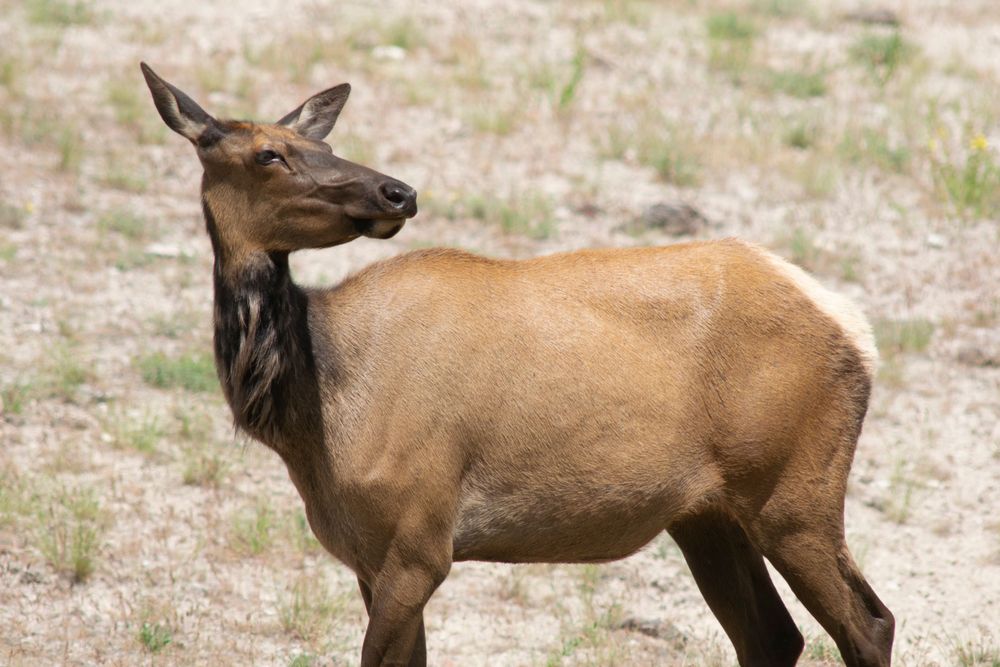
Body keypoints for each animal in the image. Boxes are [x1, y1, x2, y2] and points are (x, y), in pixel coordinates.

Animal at [140, 62, 895, 667]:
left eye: (322, 143)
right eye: (269, 152)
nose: (398, 192)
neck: (317, 412)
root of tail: (854, 328)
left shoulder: (421, 540)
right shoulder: (368, 554)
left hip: (794, 493)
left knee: (870, 623)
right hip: (709, 513)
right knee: (773, 636)